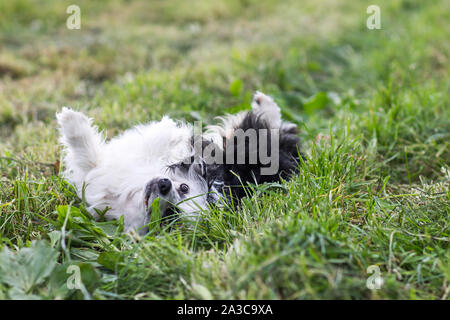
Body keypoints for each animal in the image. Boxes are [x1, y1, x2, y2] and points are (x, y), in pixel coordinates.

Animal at [57, 91, 302, 234]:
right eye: (184, 187)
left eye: (170, 214)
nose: (164, 185)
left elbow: (88, 155)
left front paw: (70, 122)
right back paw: (264, 103)